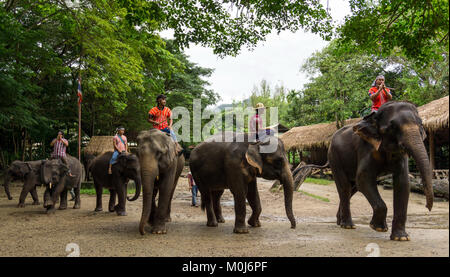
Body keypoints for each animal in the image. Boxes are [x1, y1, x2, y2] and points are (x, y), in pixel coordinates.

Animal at [294, 100, 434, 240]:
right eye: (392, 127)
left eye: (421, 124)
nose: (427, 207)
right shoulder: (366, 149)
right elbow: (363, 178)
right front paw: (378, 228)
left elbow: (403, 183)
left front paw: (401, 238)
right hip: (335, 158)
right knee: (344, 187)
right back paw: (348, 225)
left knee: (352, 188)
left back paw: (340, 221)